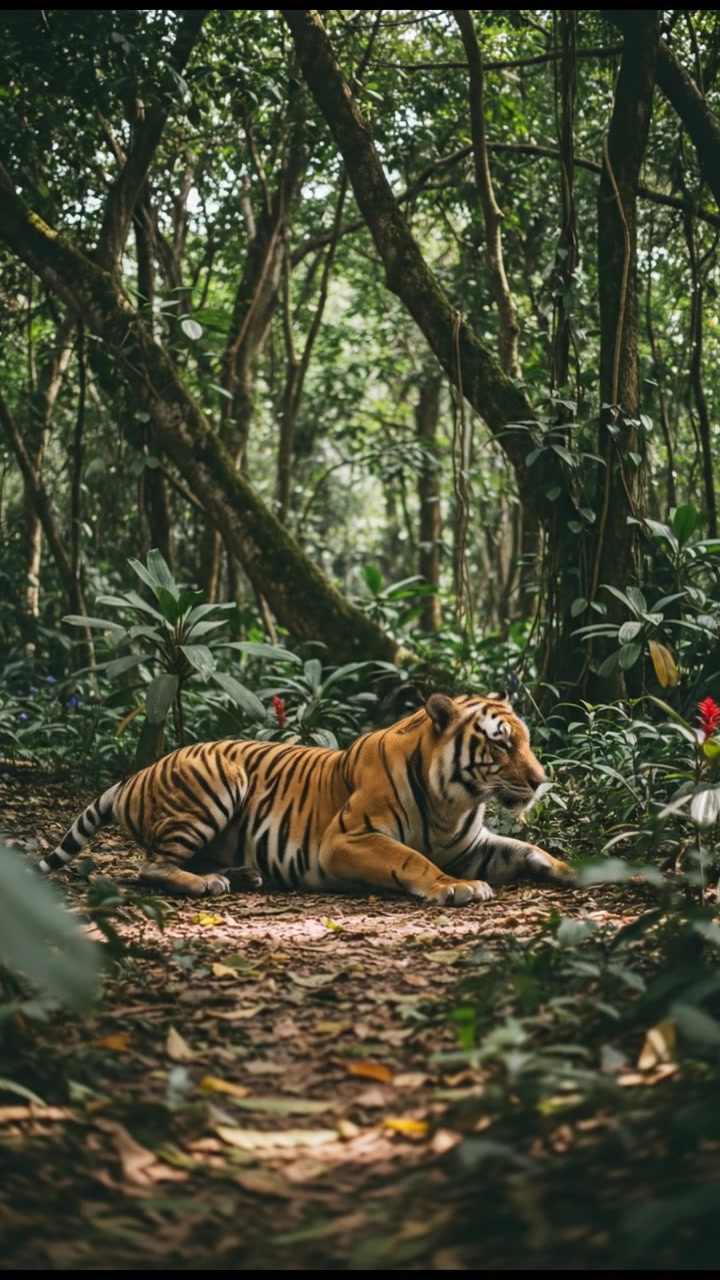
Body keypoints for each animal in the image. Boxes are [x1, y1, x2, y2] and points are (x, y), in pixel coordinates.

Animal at [39, 692, 574, 906]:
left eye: (526, 740)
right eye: (501, 744)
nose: (541, 780)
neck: (454, 803)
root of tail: (137, 774)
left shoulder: (473, 846)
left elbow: (529, 850)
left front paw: (574, 868)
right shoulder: (347, 839)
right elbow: (412, 859)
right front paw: (456, 887)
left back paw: (244, 874)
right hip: (219, 778)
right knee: (150, 867)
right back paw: (208, 883)